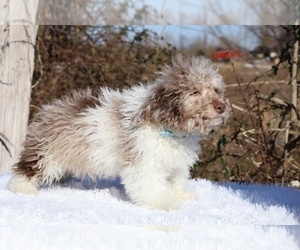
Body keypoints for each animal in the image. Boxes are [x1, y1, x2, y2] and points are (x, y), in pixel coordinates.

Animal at [8, 55, 231, 210]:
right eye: (195, 92)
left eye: (215, 90)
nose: (221, 106)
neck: (168, 126)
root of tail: (47, 110)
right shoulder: (144, 161)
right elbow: (150, 186)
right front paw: (163, 203)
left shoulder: (175, 162)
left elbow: (176, 180)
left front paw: (181, 195)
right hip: (47, 152)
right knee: (26, 169)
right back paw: (22, 188)